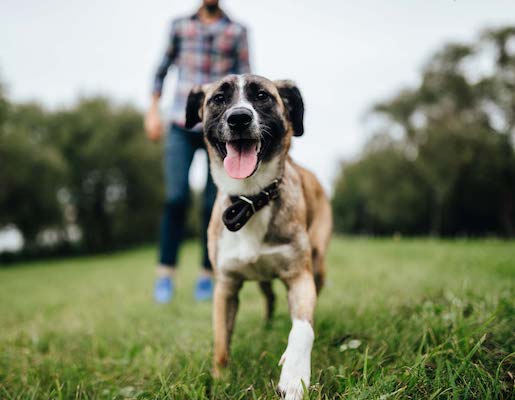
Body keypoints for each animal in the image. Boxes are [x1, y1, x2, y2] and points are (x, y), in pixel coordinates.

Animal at [187, 74, 332, 400]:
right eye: (219, 99)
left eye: (262, 96)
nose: (239, 117)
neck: (251, 199)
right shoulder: (225, 286)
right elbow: (221, 343)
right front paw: (221, 381)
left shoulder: (299, 276)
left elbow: (303, 328)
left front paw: (294, 376)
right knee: (270, 297)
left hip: (317, 263)